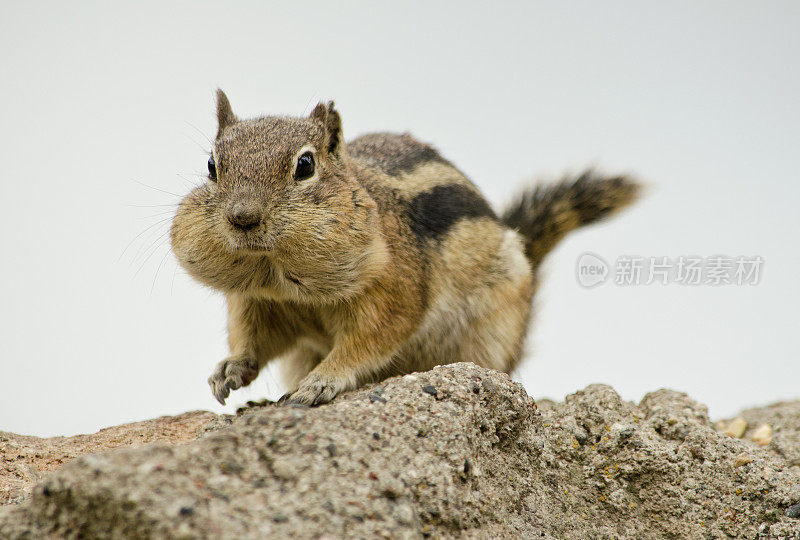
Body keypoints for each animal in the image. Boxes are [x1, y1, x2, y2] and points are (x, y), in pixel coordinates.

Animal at [169, 90, 636, 404]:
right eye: (212, 166)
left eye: (305, 165)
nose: (243, 218)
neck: (282, 276)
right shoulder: (257, 302)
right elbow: (253, 338)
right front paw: (230, 368)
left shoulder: (394, 289)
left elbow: (369, 340)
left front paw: (323, 380)